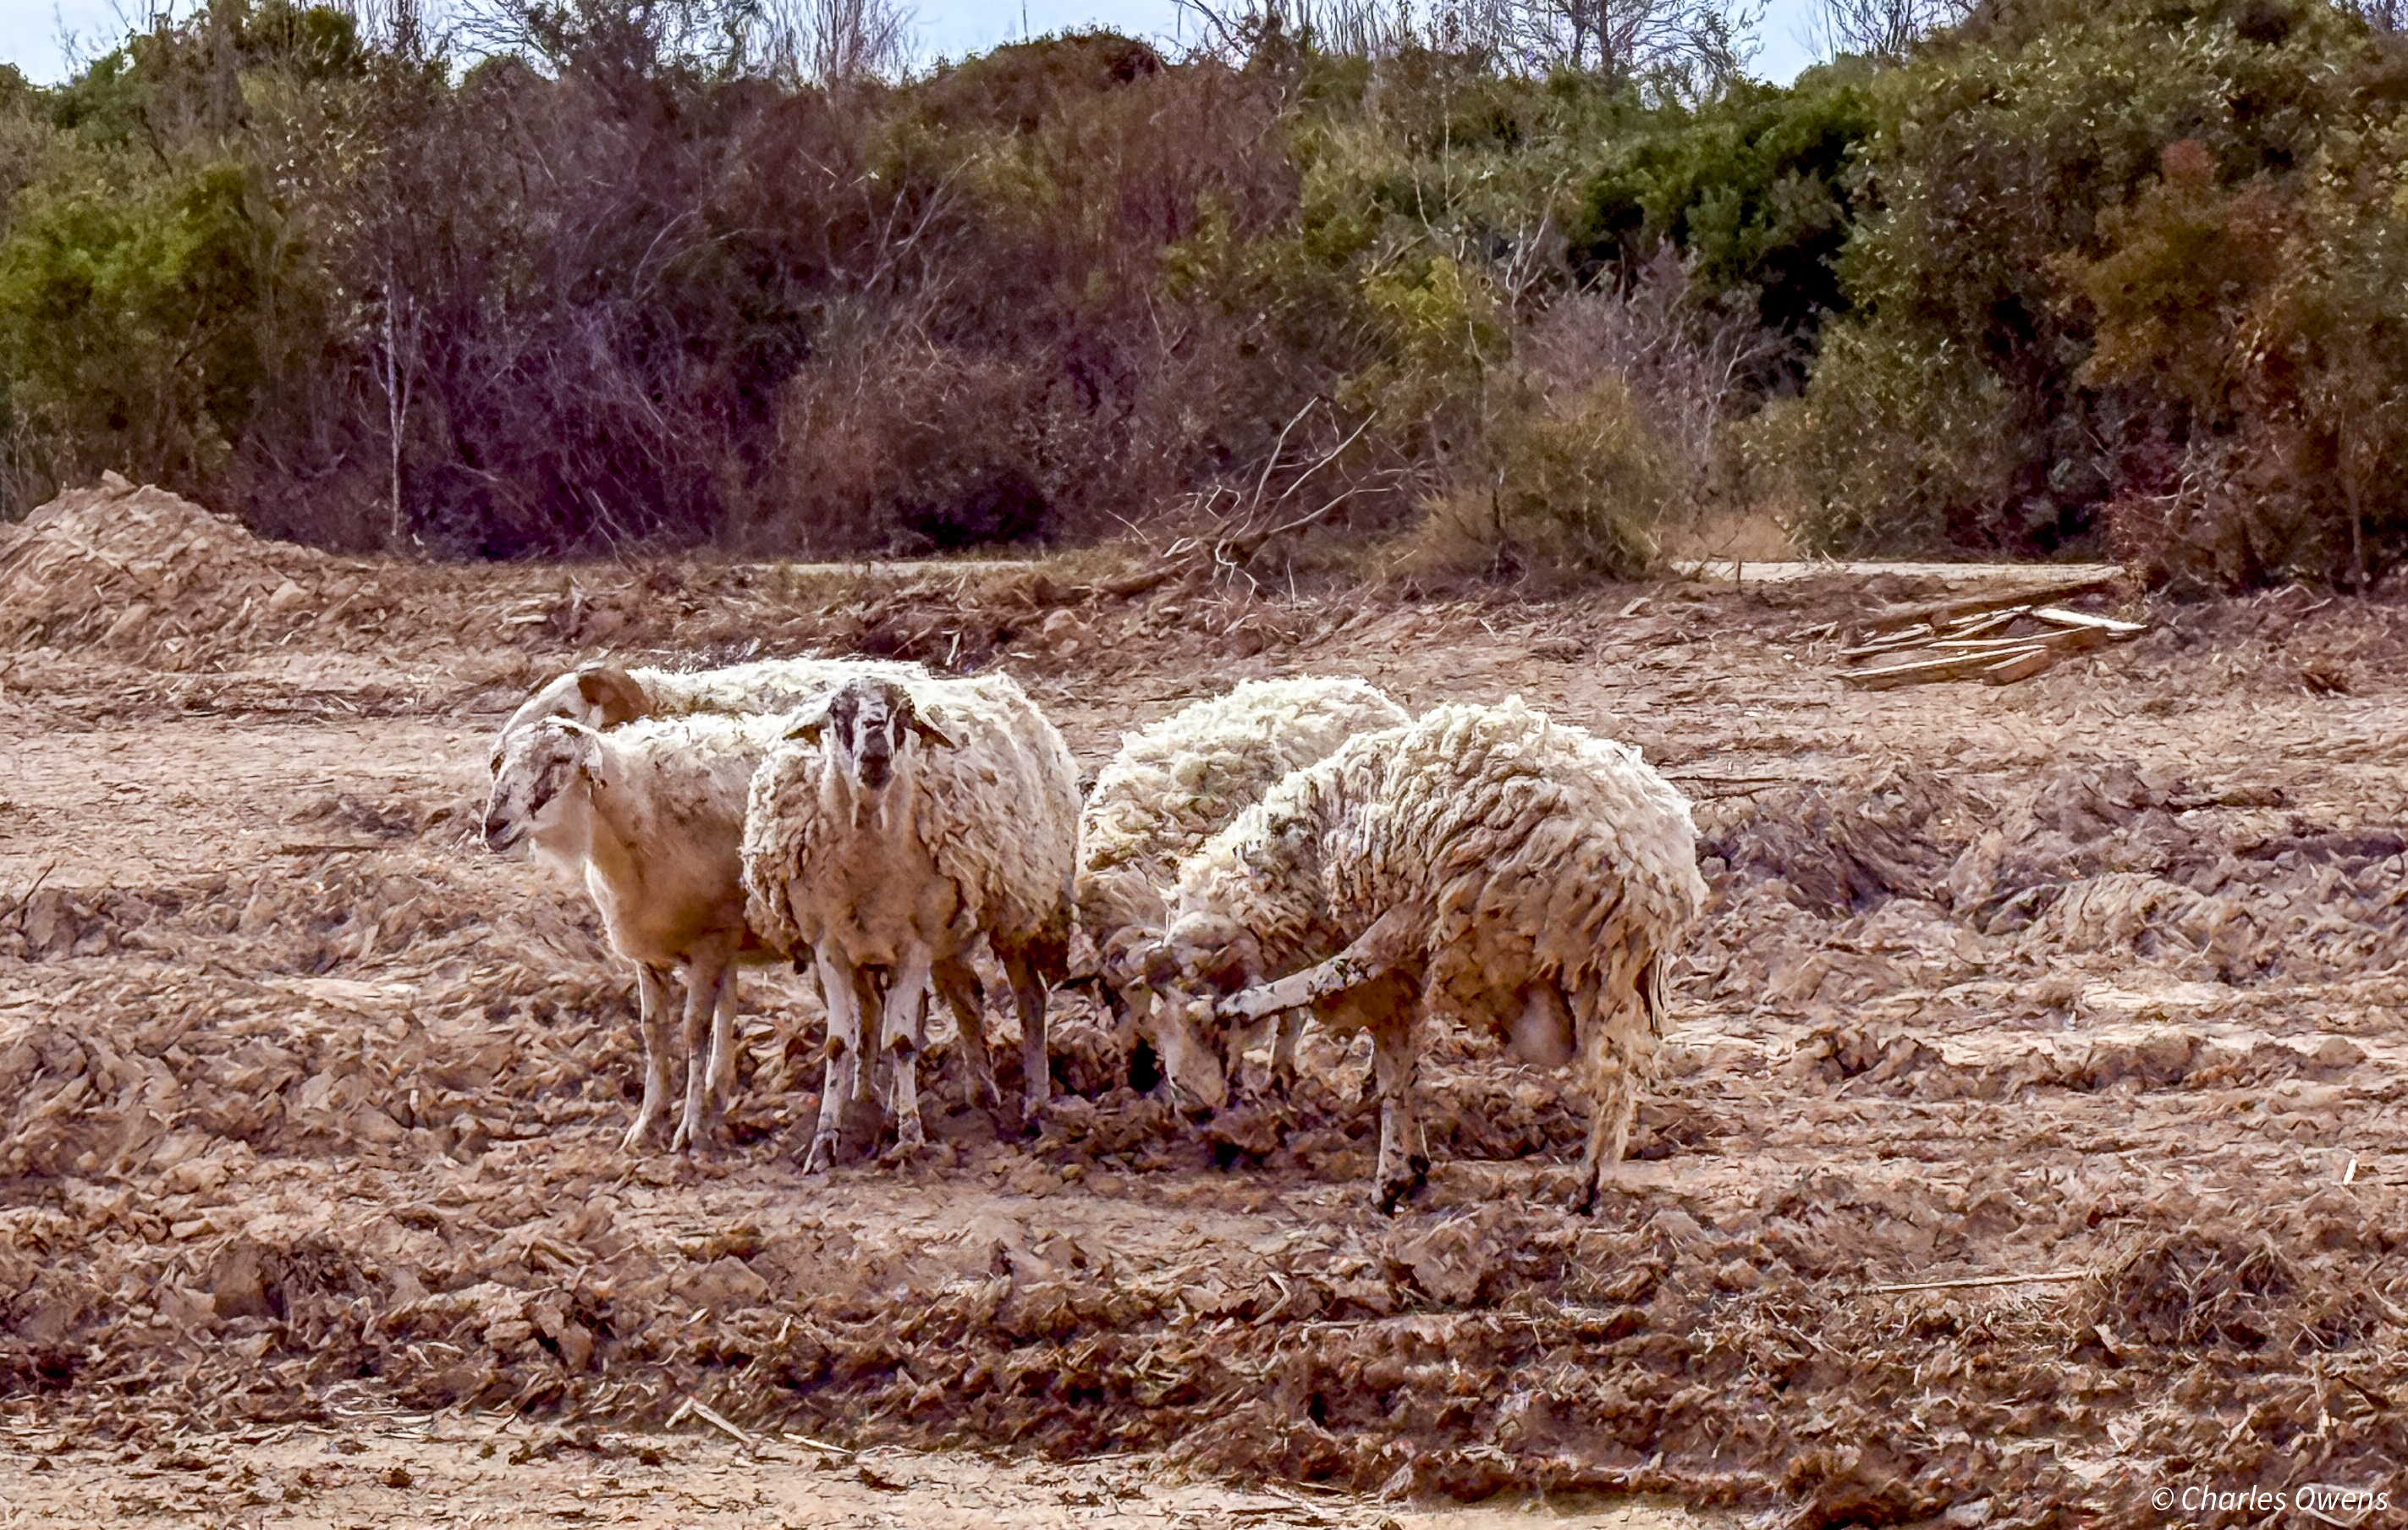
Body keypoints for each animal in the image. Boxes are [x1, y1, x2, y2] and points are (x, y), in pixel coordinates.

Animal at [743, 673, 1078, 1174]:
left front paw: (909, 1138)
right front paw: (825, 1141)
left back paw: (1035, 1106)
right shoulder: (831, 946)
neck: (866, 866)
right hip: (945, 934)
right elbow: (839, 1045)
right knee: (963, 998)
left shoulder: (915, 945)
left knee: (1030, 1000)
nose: (876, 753)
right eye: (837, 713)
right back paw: (972, 1095)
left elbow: (901, 1041)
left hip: (1019, 911)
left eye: (905, 715)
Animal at [1132, 697, 1705, 1213]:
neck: (1307, 857)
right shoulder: (1396, 982)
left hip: (1487, 914)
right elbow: (1398, 1068)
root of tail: (1654, 860)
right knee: (1619, 1067)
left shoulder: (1394, 942)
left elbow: (1355, 1002)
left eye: (1188, 1019)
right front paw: (1402, 1172)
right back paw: (1593, 1181)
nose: (1190, 1108)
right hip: (1614, 967)